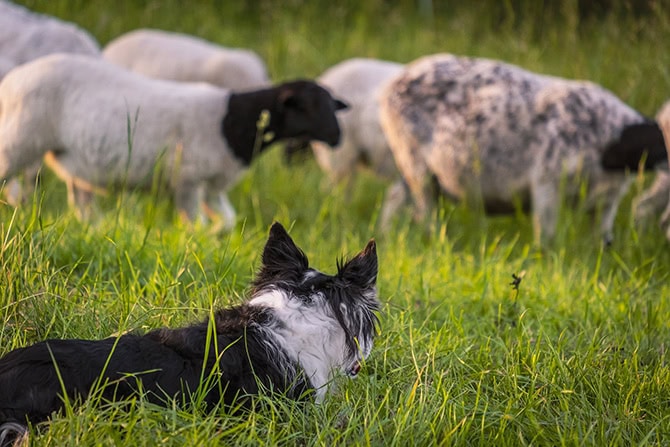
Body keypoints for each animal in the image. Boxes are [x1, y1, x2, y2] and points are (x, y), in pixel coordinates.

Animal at [0, 53, 346, 228]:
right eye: (307, 106)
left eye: (332, 105)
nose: (337, 137)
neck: (232, 123)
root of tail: (13, 79)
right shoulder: (188, 181)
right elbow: (195, 224)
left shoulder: (213, 185)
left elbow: (228, 220)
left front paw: (216, 238)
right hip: (17, 140)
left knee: (82, 206)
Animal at [378, 54, 668, 247]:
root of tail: (394, 81)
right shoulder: (547, 182)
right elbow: (547, 235)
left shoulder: (607, 201)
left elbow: (603, 238)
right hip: (414, 162)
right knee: (424, 212)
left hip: (413, 168)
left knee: (395, 197)